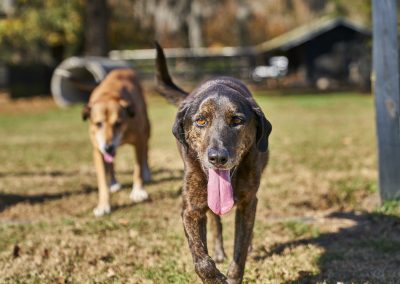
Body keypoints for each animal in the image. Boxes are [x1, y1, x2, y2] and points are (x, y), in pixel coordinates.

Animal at [82, 69, 151, 217]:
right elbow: (102, 180)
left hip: (147, 129)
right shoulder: (97, 150)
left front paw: (138, 192)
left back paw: (147, 173)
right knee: (111, 164)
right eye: (98, 124)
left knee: (146, 152)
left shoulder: (139, 141)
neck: (109, 95)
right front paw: (103, 205)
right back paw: (113, 183)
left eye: (118, 123)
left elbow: (137, 169)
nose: (108, 147)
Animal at [155, 42, 274, 284]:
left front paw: (233, 275)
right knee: (215, 221)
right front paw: (215, 277)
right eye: (201, 120)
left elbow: (239, 251)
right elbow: (201, 260)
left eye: (237, 120)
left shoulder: (248, 203)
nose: (218, 158)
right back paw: (218, 251)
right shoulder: (191, 209)